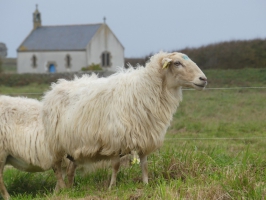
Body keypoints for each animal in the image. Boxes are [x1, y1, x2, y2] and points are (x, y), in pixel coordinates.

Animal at [42, 51, 208, 189]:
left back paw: (67, 189)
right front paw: (112, 187)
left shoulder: (144, 136)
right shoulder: (115, 139)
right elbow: (115, 166)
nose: (204, 79)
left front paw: (146, 184)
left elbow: (144, 164)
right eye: (177, 63)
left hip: (72, 144)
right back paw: (63, 188)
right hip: (55, 144)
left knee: (70, 168)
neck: (145, 89)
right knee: (57, 168)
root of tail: (54, 88)